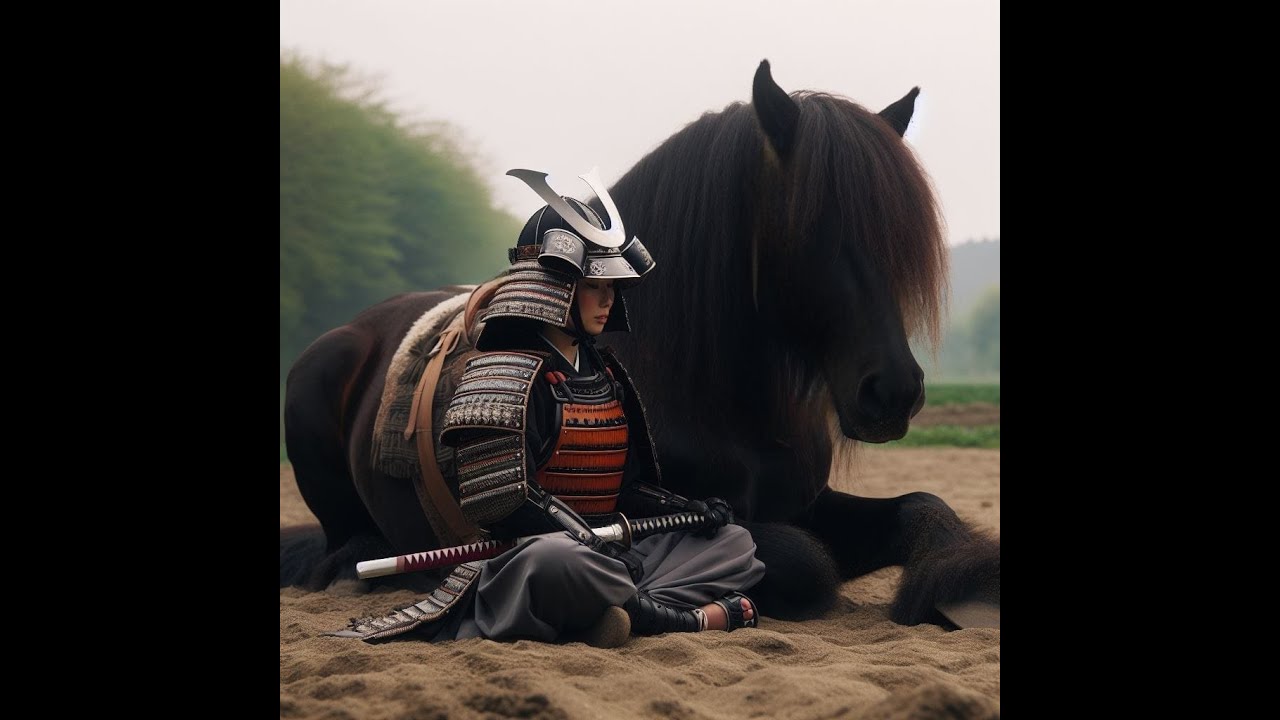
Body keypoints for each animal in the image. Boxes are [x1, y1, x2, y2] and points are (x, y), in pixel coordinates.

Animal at [282, 60, 999, 628]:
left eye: (900, 238)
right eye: (812, 224)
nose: (894, 392)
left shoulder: (808, 500)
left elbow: (923, 509)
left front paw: (959, 592)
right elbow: (804, 558)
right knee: (340, 546)